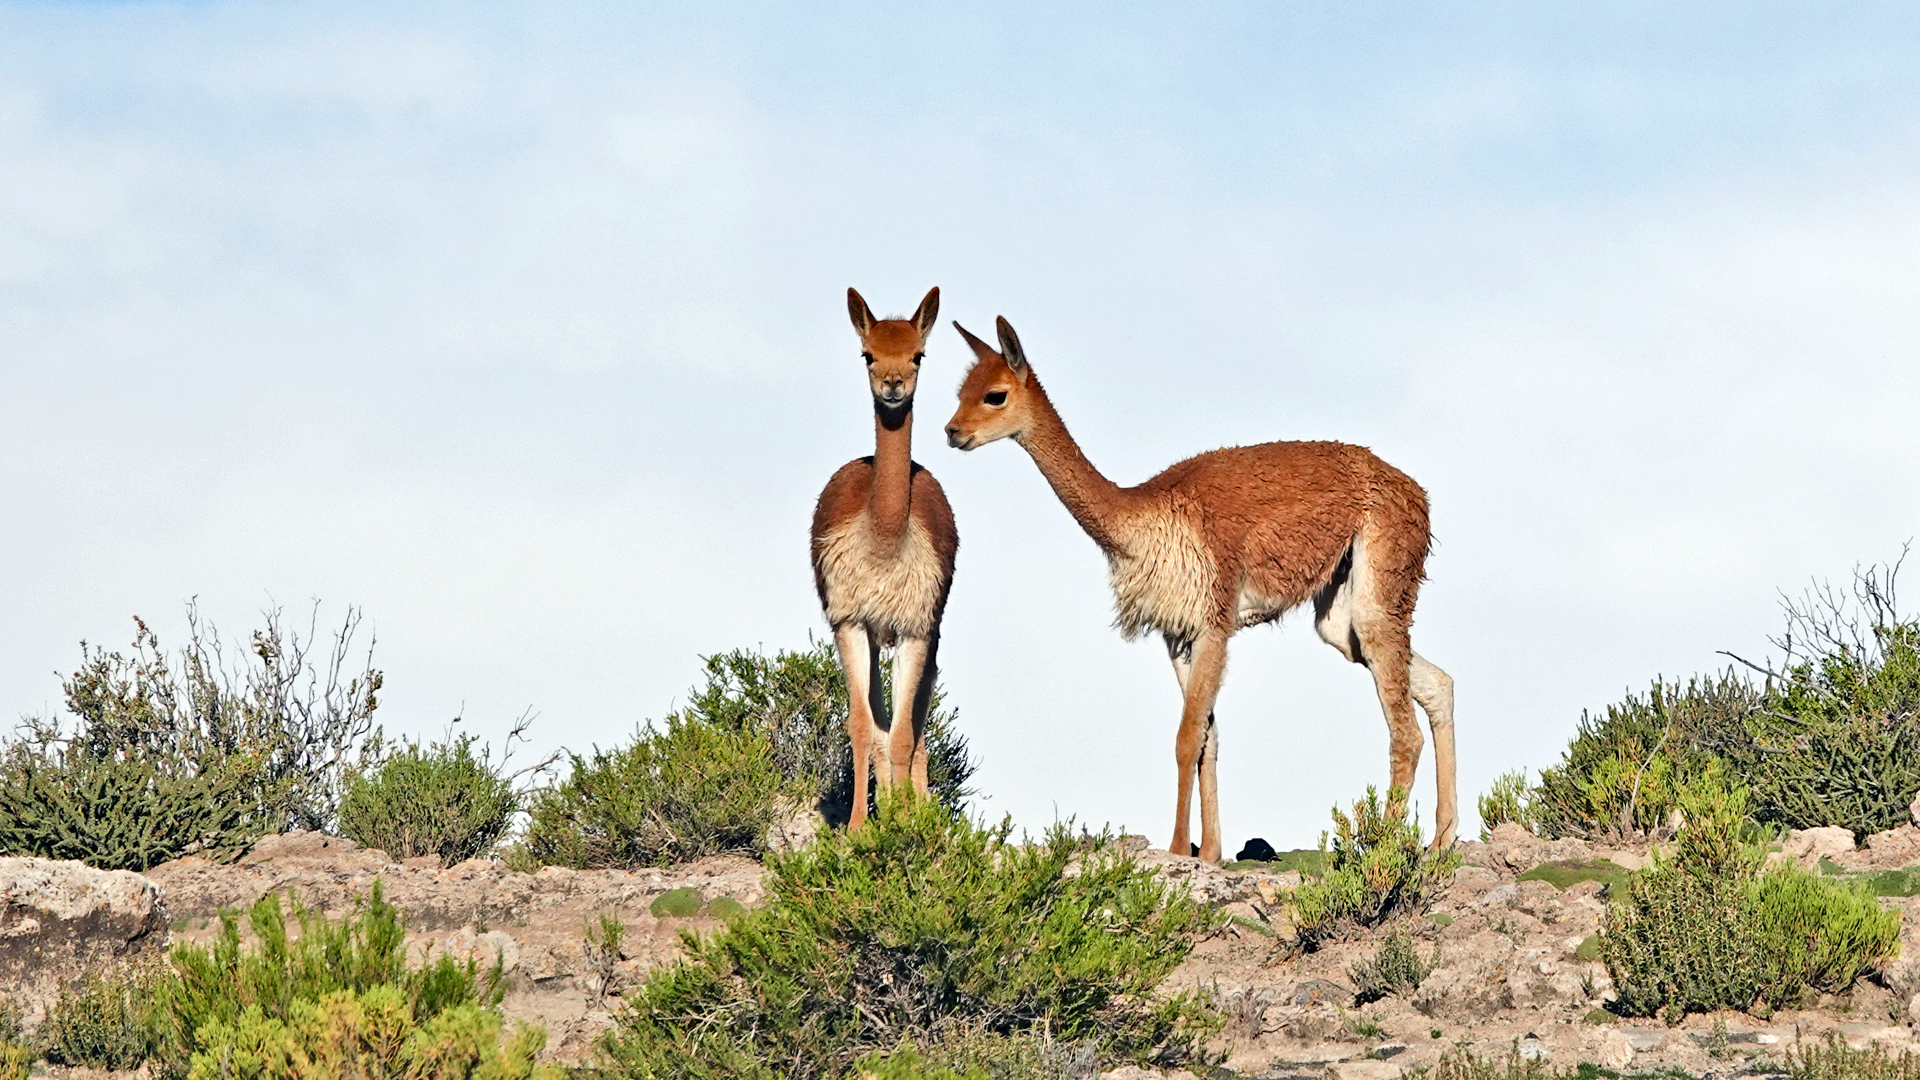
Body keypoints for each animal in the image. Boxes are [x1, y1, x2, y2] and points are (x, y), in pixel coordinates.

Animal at [809, 287, 958, 829]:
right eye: (867, 355)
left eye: (919, 355)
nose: (893, 385)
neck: (885, 539)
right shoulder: (849, 619)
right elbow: (861, 725)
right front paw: (857, 828)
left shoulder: (916, 626)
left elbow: (902, 733)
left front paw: (904, 825)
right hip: (874, 635)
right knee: (882, 721)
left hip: (928, 630)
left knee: (913, 727)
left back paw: (916, 809)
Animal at [944, 316, 1455, 861]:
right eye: (960, 391)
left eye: (995, 395)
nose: (952, 432)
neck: (1141, 520)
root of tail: (1416, 492)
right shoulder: (1177, 633)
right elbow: (1208, 738)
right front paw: (1209, 850)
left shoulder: (1213, 621)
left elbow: (1187, 736)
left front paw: (1175, 847)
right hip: (1341, 614)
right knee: (1437, 684)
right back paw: (1444, 838)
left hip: (1383, 576)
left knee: (1405, 732)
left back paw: (1383, 849)